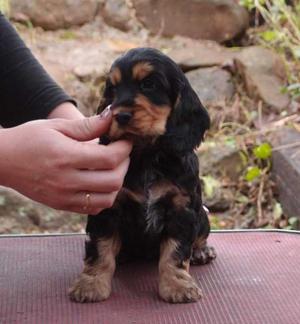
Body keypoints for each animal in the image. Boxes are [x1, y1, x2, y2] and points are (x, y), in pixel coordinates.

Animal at [69, 47, 217, 304]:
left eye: (149, 84)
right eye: (113, 89)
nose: (120, 116)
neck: (147, 155)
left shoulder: (181, 209)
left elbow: (175, 252)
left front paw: (177, 286)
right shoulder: (108, 209)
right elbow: (100, 249)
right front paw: (91, 284)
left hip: (202, 217)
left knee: (200, 236)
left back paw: (201, 251)